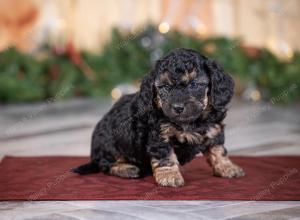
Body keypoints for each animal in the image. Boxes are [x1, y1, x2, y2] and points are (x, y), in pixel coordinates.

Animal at [74, 48, 245, 187]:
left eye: (194, 85)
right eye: (166, 87)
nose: (178, 107)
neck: (188, 122)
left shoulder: (213, 129)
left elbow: (218, 150)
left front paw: (227, 167)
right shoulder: (159, 136)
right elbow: (165, 156)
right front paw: (170, 176)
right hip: (110, 142)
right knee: (106, 164)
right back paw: (127, 169)